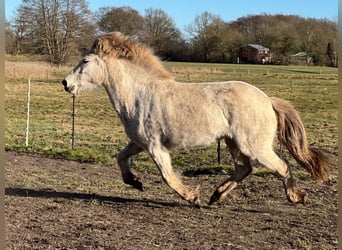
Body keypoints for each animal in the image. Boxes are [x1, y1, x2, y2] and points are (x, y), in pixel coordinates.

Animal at [62, 31, 330, 207]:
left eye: (85, 61)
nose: (66, 83)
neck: (140, 95)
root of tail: (267, 100)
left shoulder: (155, 146)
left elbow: (167, 176)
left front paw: (191, 196)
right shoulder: (139, 143)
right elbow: (120, 158)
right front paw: (135, 181)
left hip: (254, 146)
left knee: (281, 167)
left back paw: (296, 197)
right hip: (233, 143)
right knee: (244, 169)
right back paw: (216, 196)